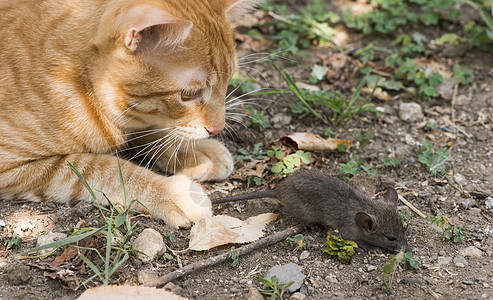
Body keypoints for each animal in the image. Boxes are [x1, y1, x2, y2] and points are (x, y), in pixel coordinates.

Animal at [0, 0, 260, 227]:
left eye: (228, 80)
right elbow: (104, 169)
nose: (218, 128)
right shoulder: (12, 165)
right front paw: (172, 193)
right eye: (188, 94)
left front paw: (192, 151)